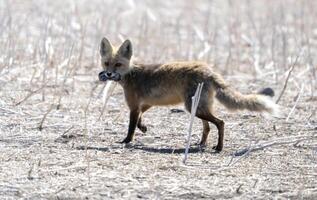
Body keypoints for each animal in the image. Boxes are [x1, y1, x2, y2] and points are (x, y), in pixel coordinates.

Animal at [98, 37, 276, 152]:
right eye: (106, 63)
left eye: (118, 64)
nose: (108, 74)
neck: (131, 74)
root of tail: (208, 70)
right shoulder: (146, 103)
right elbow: (140, 118)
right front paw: (143, 128)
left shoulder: (134, 106)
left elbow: (131, 127)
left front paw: (126, 141)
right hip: (199, 107)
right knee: (207, 127)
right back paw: (201, 144)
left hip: (193, 108)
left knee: (220, 123)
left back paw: (219, 148)